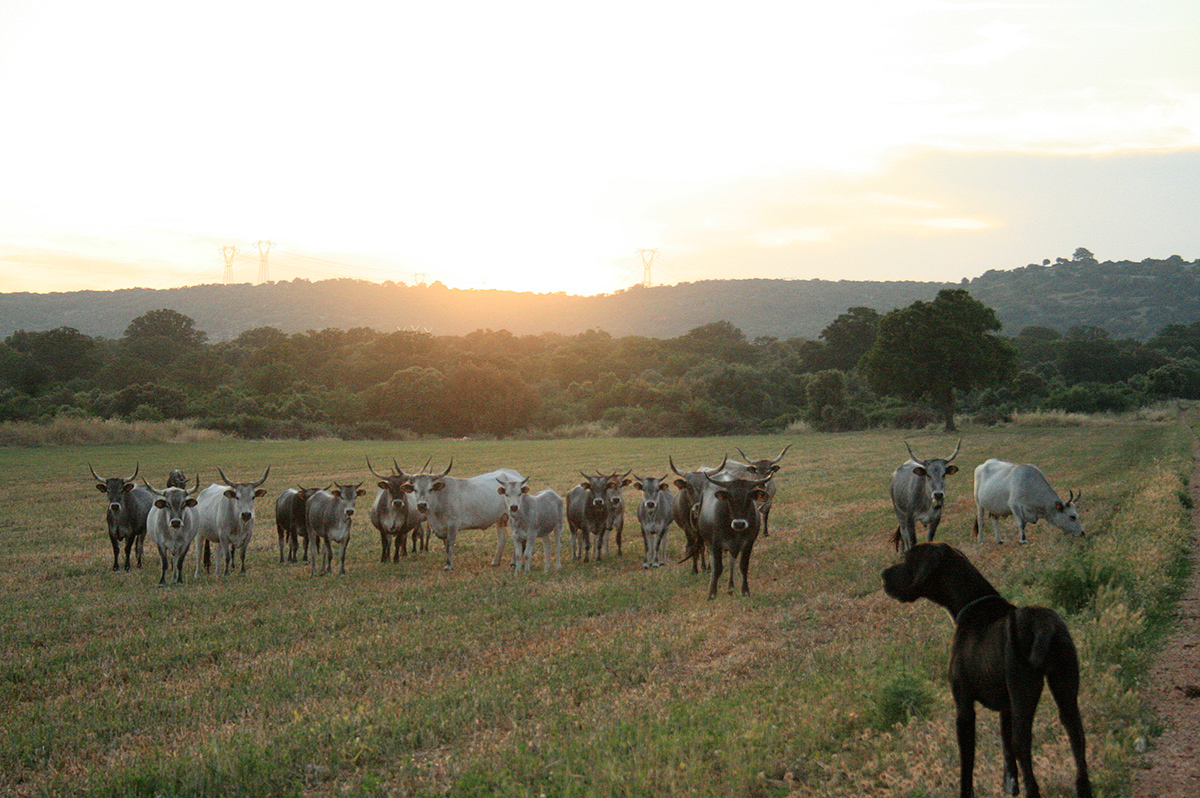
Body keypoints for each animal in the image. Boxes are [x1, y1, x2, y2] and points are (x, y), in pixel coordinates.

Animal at [878, 542, 1094, 796]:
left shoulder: (964, 707)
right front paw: (1010, 787)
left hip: (1024, 695)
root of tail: (1043, 625)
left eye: (907, 560)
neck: (971, 604)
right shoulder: (1006, 708)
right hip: (1066, 694)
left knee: (1023, 749)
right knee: (1076, 739)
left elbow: (967, 763)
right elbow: (1007, 756)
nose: (883, 574)